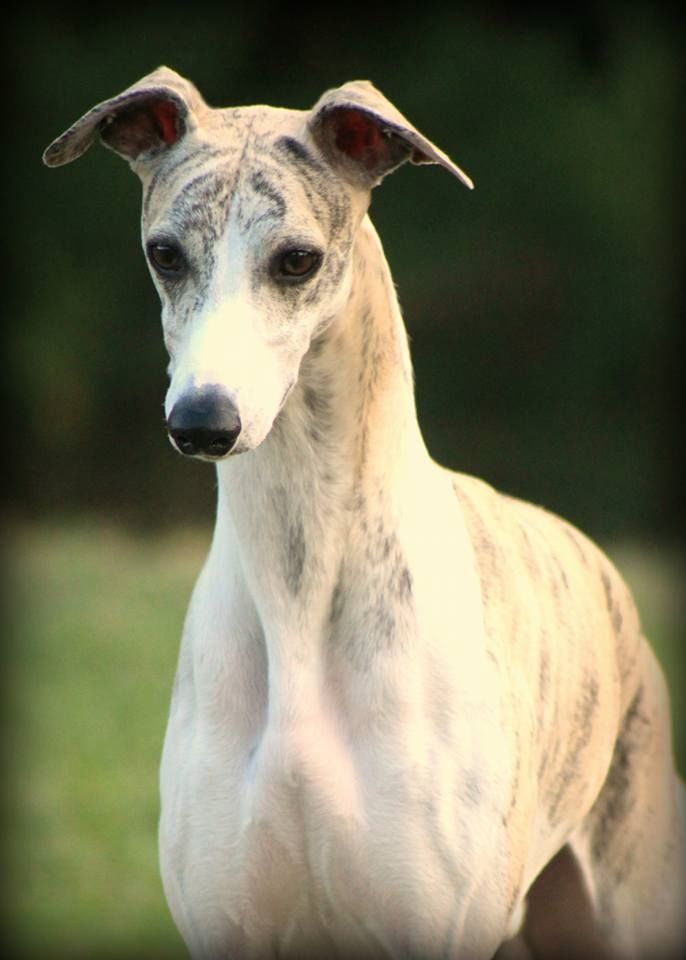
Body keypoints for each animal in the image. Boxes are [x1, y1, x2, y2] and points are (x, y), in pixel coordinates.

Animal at [45, 69, 684, 960]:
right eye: (164, 254)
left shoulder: (434, 926)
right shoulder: (229, 926)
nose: (202, 421)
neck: (301, 578)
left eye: (298, 259)